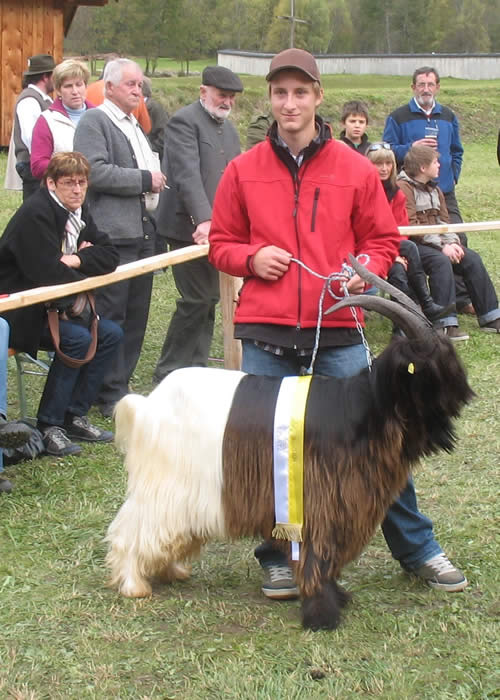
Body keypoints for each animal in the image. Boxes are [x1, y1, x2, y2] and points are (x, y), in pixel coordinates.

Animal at [105, 258, 472, 628]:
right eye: (431, 362)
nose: (464, 396)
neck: (364, 408)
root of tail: (147, 404)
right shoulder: (320, 501)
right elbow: (318, 556)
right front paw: (322, 613)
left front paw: (336, 597)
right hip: (167, 483)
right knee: (134, 526)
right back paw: (134, 584)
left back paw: (170, 571)